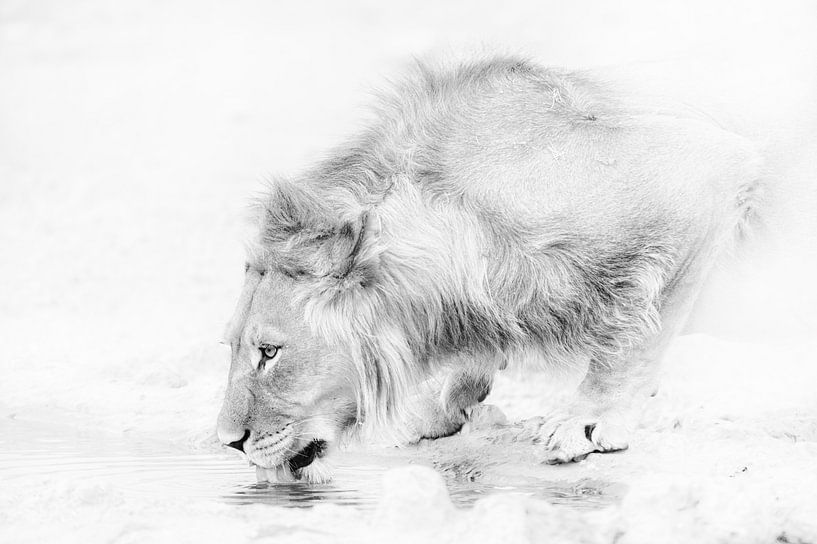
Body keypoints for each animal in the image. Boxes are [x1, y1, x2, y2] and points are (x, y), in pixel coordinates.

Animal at [214, 54, 760, 480]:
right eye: (233, 346)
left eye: (269, 352)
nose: (227, 442)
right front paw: (441, 407)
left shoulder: (707, 172)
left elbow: (636, 340)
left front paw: (585, 419)